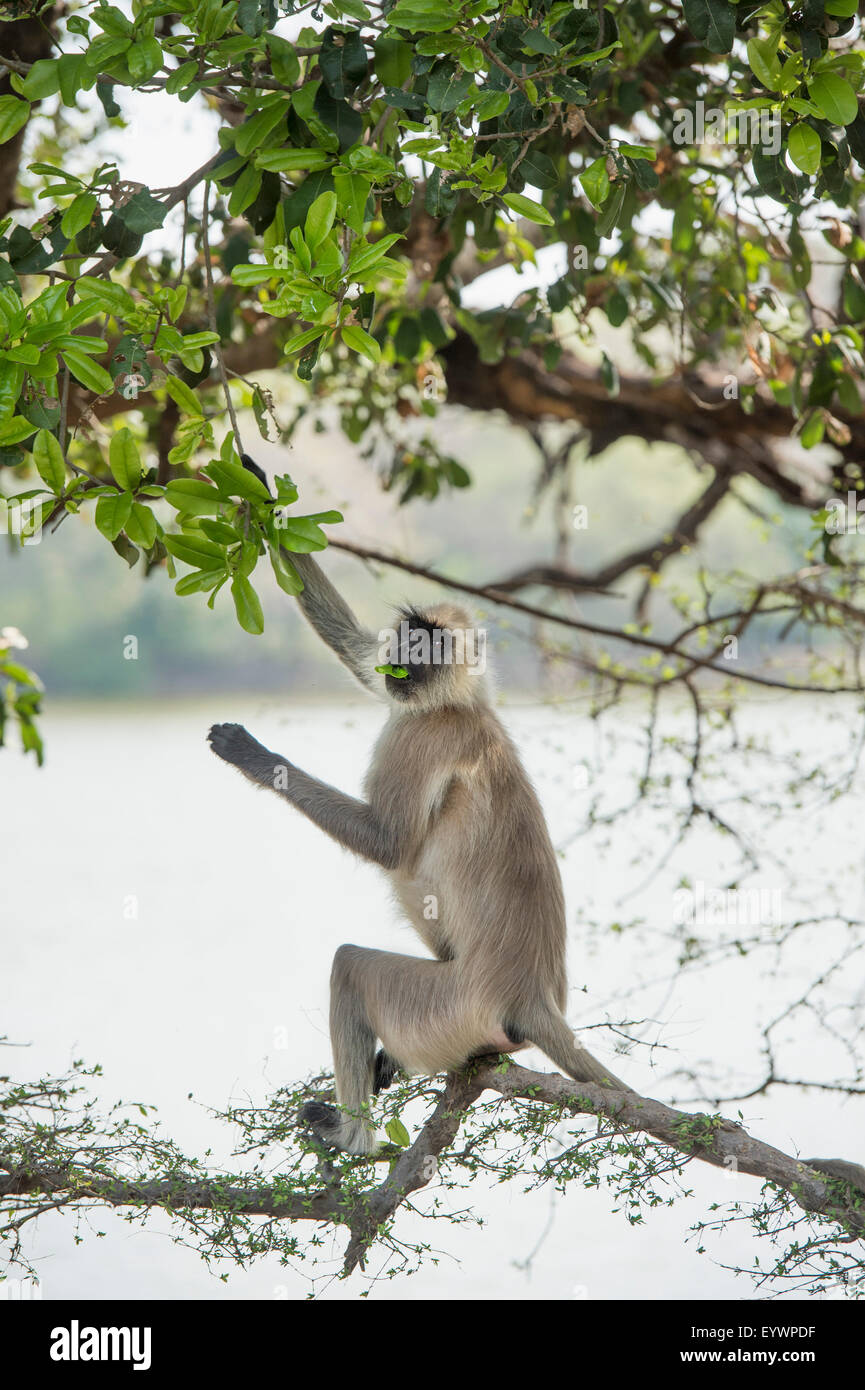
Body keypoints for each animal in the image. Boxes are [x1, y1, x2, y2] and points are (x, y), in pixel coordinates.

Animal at [207, 547, 634, 1156]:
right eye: (411, 636)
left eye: (431, 646)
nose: (407, 657)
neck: (458, 704)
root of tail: (531, 996)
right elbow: (362, 658)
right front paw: (266, 519)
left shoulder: (422, 736)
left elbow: (387, 844)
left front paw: (257, 758)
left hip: (446, 1007)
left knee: (351, 967)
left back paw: (352, 1139)